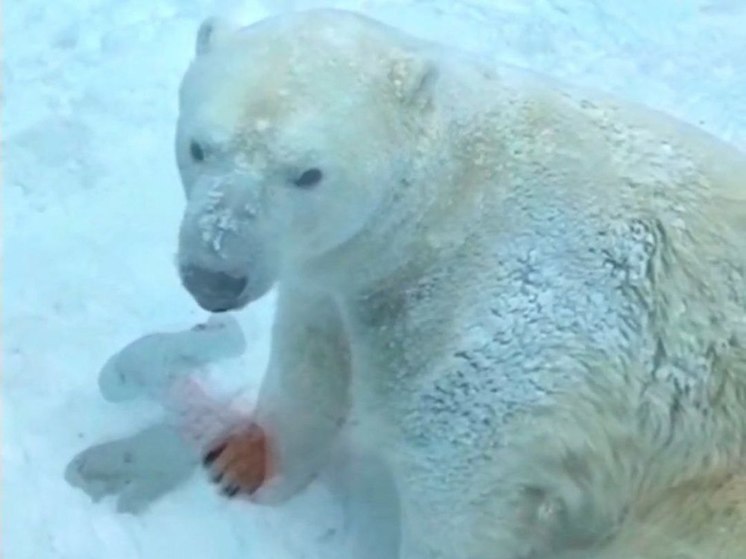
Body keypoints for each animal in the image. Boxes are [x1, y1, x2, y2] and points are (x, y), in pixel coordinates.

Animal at [173, 8, 744, 559]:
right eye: (200, 147)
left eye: (308, 174)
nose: (214, 278)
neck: (448, 207)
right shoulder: (336, 270)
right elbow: (311, 356)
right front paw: (242, 460)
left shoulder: (508, 329)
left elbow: (458, 490)